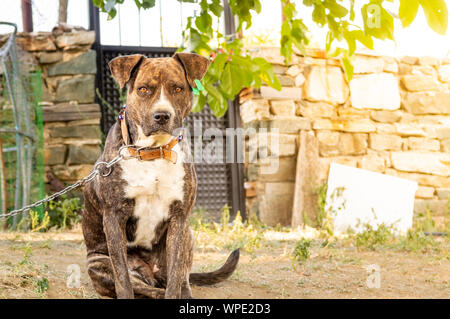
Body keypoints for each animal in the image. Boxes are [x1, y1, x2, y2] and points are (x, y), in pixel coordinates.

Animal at [83, 52, 241, 300]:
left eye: (177, 88)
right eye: (143, 89)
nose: (162, 115)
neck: (153, 152)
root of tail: (151, 273)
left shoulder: (179, 217)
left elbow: (176, 275)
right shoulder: (113, 217)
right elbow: (123, 278)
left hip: (188, 236)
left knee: (180, 278)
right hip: (98, 262)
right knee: (144, 288)